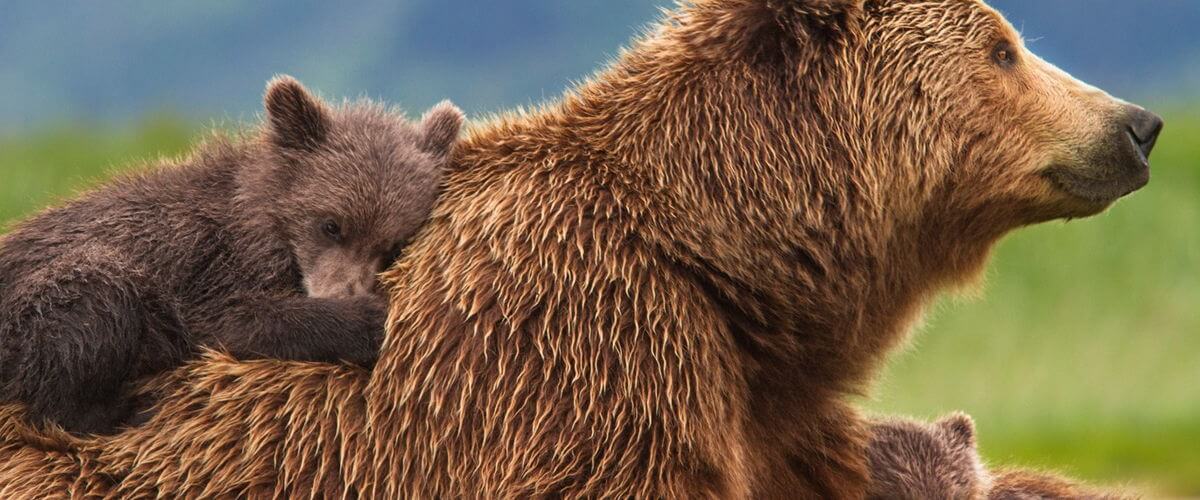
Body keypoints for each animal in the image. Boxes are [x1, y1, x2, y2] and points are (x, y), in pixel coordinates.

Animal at [0, 76, 463, 435]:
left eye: (392, 245)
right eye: (331, 224)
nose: (342, 292)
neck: (264, 218)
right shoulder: (209, 262)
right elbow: (237, 319)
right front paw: (368, 318)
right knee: (95, 303)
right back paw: (132, 409)